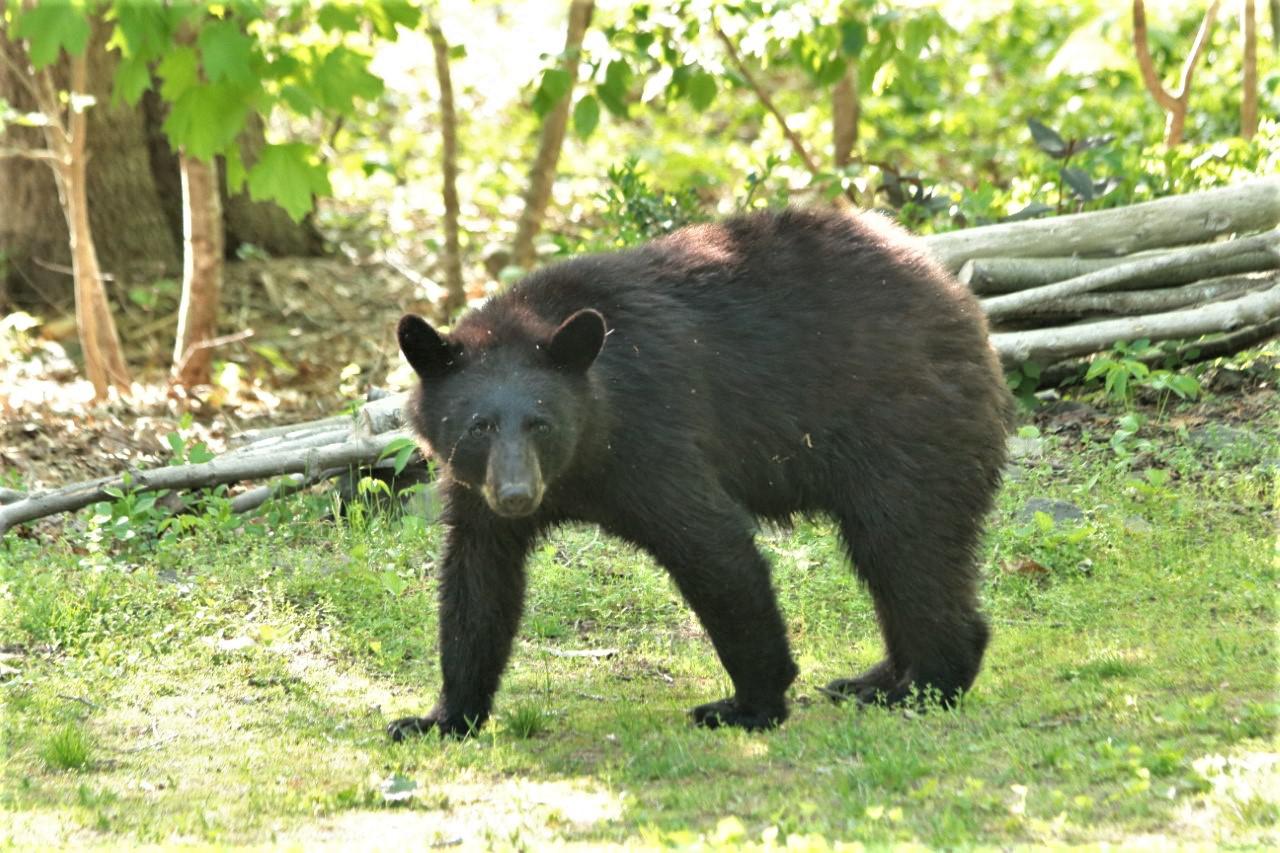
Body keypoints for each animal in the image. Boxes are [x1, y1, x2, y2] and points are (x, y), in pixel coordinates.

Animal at [394, 207, 1013, 737]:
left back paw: (924, 685)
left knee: (908, 547)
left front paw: (748, 705)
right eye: (479, 425)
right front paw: (440, 718)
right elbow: (478, 582)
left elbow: (713, 547)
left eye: (540, 423)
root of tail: (957, 297)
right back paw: (875, 679)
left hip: (908, 430)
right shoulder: (474, 491)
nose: (518, 495)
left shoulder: (652, 438)